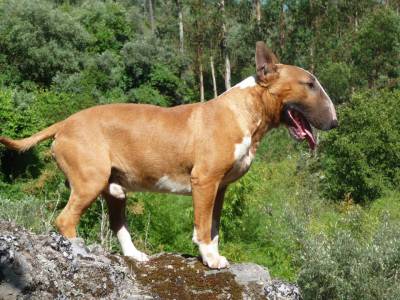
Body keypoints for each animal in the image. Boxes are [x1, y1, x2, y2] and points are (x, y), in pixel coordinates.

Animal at [0, 41, 338, 268]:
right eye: (309, 84)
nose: (335, 121)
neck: (244, 111)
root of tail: (64, 123)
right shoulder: (204, 181)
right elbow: (202, 226)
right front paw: (210, 259)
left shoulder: (220, 188)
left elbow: (214, 226)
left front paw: (214, 255)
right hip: (89, 181)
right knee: (65, 220)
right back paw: (80, 251)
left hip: (114, 189)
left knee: (118, 224)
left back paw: (135, 255)